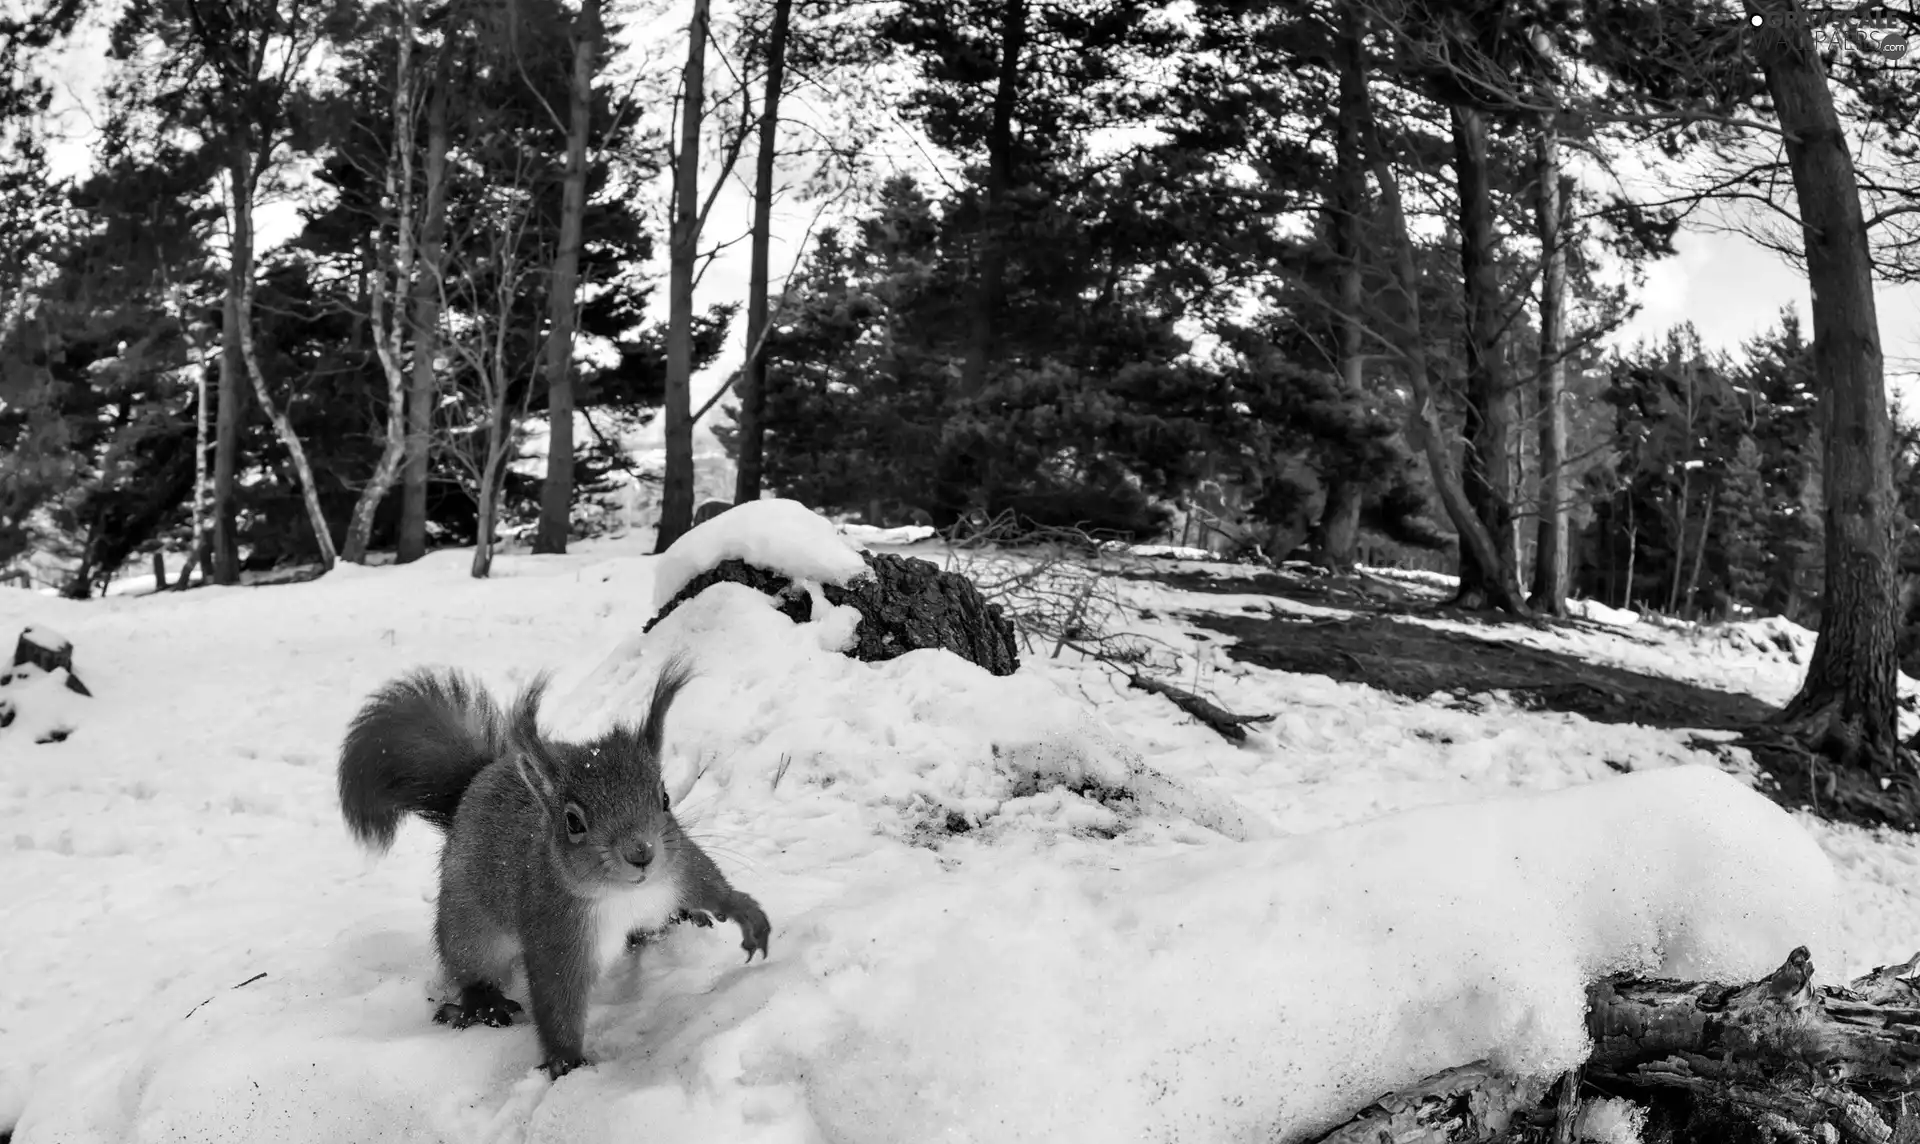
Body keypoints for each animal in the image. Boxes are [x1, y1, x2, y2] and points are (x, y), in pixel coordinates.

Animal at [337, 656, 771, 1074]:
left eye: (664, 798)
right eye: (573, 822)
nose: (641, 853)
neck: (624, 895)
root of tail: (473, 785)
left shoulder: (676, 867)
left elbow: (708, 882)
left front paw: (745, 911)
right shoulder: (556, 928)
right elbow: (557, 996)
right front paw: (566, 1060)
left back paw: (675, 920)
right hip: (469, 923)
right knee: (469, 965)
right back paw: (484, 1003)